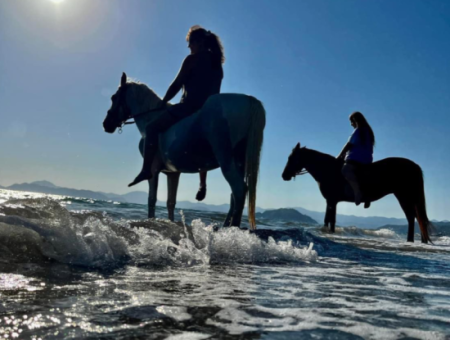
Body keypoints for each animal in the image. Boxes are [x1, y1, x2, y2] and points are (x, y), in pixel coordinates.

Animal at [103, 73, 264, 230]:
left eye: (114, 97)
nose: (106, 124)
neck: (151, 117)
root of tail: (249, 99)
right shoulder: (173, 173)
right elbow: (170, 202)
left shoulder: (153, 170)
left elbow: (152, 200)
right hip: (239, 162)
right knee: (234, 196)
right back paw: (226, 227)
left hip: (226, 159)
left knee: (239, 189)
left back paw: (232, 229)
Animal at [282, 142, 432, 243]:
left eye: (291, 158)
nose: (284, 175)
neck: (328, 169)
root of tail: (414, 166)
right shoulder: (331, 201)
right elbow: (328, 220)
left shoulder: (332, 201)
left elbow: (331, 221)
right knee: (418, 219)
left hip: (404, 197)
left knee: (411, 218)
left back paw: (410, 240)